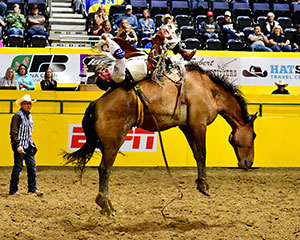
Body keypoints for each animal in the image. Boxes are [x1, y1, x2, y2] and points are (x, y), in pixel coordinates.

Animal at [63, 60, 258, 216]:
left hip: (105, 144)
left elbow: (196, 154)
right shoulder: (199, 124)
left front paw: (200, 183)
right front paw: (204, 186)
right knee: (104, 169)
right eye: (254, 135)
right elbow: (202, 153)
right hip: (113, 143)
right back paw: (106, 205)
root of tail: (97, 103)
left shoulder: (187, 126)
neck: (208, 89)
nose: (249, 163)